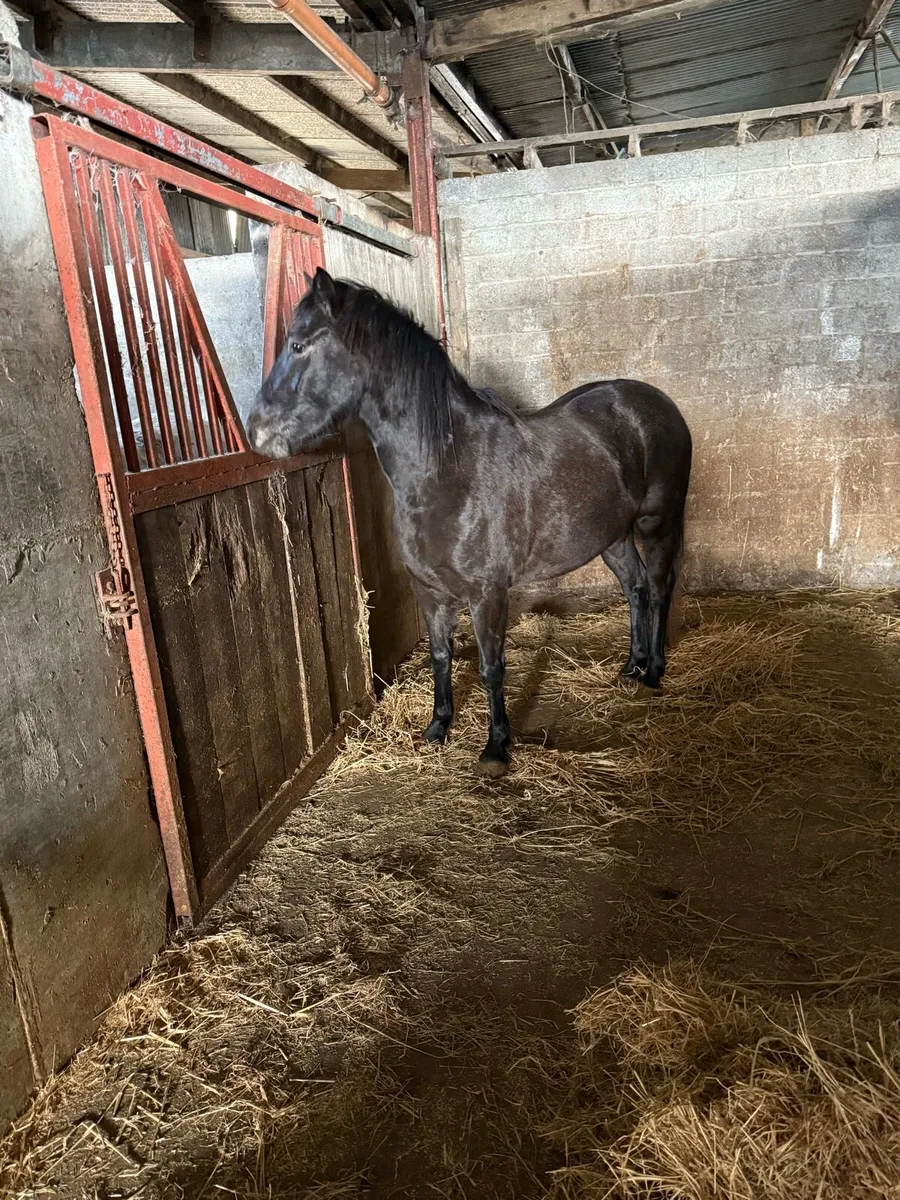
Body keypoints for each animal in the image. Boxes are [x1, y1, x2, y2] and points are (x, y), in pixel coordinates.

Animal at [248, 268, 692, 778]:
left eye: (298, 345)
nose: (255, 430)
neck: (447, 473)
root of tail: (656, 403)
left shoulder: (488, 594)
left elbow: (491, 667)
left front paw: (496, 748)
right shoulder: (429, 591)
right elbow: (441, 656)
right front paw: (437, 727)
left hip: (658, 522)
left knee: (658, 587)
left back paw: (654, 671)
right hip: (612, 537)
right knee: (634, 587)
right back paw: (631, 667)